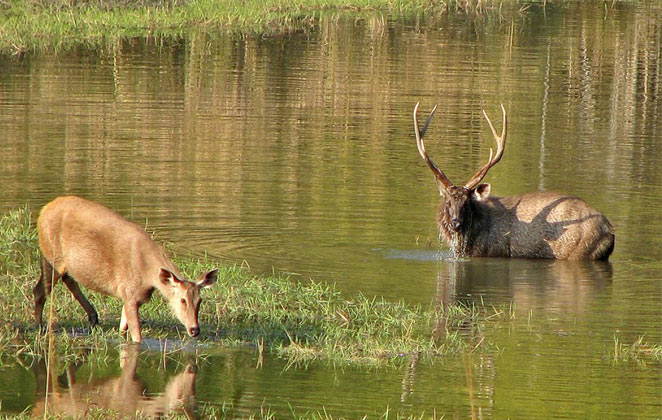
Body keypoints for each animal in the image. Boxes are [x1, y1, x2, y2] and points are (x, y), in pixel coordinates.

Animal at [35, 196, 218, 342]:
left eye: (200, 300)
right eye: (182, 300)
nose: (195, 329)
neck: (148, 276)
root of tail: (43, 211)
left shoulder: (130, 296)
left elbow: (123, 330)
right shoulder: (130, 293)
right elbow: (137, 337)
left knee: (67, 279)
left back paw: (93, 317)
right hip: (52, 256)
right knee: (40, 290)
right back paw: (40, 327)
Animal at [416, 102, 616, 260]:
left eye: (467, 202)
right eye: (447, 201)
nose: (455, 224)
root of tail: (609, 231)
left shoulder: (490, 251)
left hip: (578, 251)